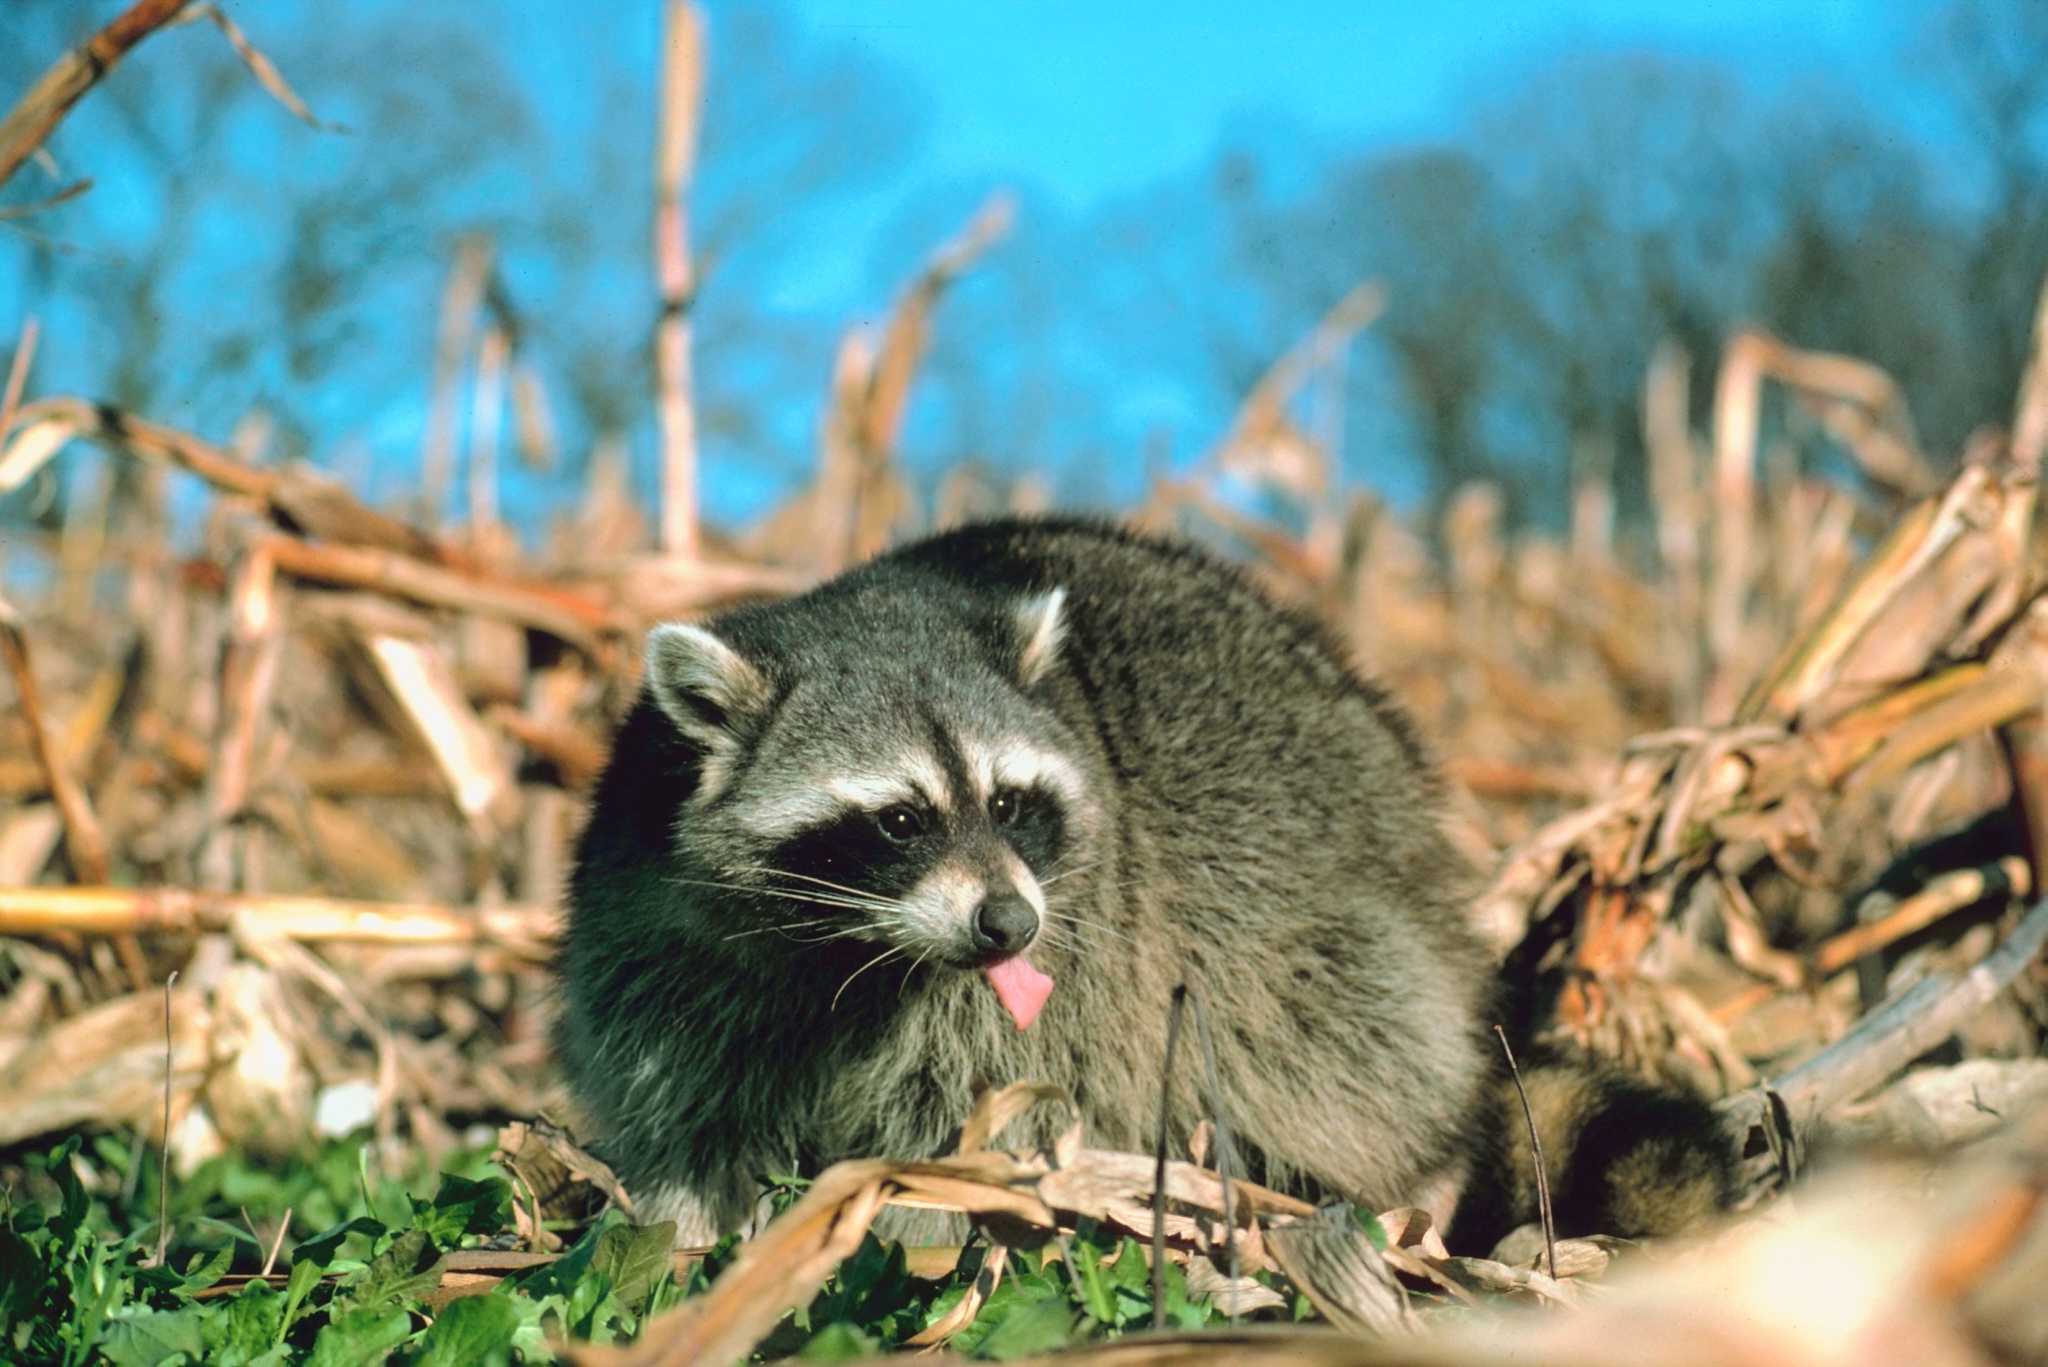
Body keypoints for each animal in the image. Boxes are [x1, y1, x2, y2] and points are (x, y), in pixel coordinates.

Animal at [554, 516, 1732, 1251]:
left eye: (1011, 802)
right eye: (899, 819)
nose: (1006, 922)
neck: (849, 953)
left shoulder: (1072, 968)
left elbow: (981, 1126)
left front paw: (905, 1229)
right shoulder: (649, 914)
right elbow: (685, 1101)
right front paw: (685, 1234)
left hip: (1325, 911)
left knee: (1331, 1042)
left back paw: (1415, 1189)